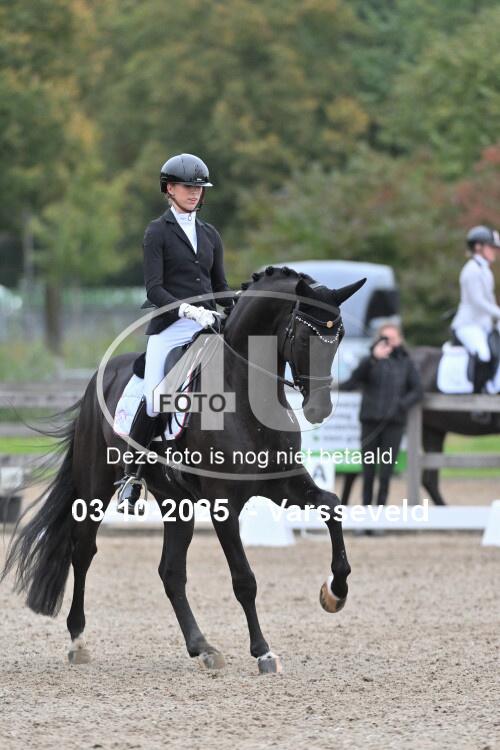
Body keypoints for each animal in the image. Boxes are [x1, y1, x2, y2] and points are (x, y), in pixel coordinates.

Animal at [2, 266, 365, 675]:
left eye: (338, 337)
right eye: (305, 336)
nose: (320, 409)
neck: (245, 392)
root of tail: (101, 375)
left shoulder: (283, 485)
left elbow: (332, 505)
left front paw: (335, 593)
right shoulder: (224, 504)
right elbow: (244, 579)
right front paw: (263, 651)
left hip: (176, 502)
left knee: (170, 572)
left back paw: (202, 646)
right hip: (95, 486)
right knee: (83, 551)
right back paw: (78, 641)